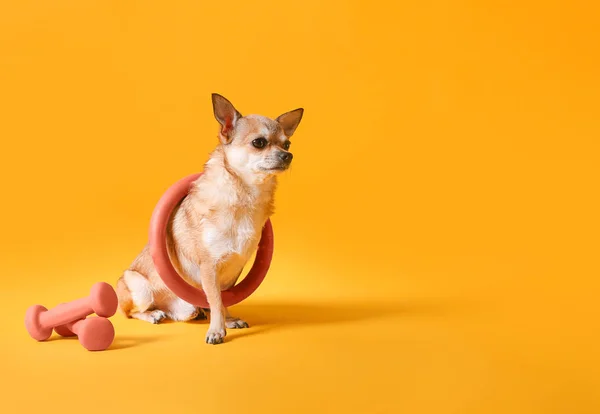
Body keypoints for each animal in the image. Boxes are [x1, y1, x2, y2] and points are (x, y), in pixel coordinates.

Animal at [116, 94, 304, 342]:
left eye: (287, 144)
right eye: (259, 143)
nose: (288, 155)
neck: (245, 197)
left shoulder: (233, 269)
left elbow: (224, 298)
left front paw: (229, 320)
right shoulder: (209, 266)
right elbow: (215, 299)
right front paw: (216, 330)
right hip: (139, 287)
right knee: (131, 312)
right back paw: (153, 314)